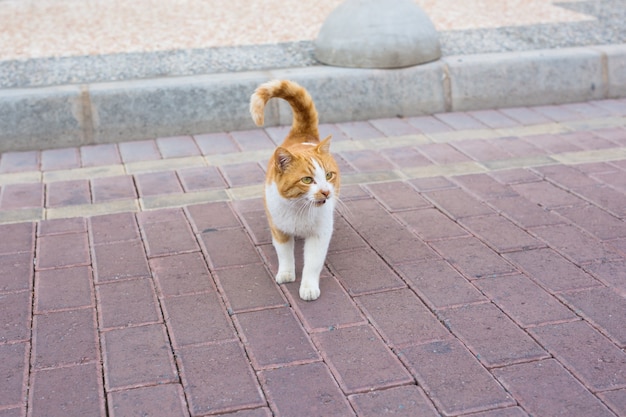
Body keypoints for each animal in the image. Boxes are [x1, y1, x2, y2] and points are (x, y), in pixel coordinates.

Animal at [249, 79, 338, 300]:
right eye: (307, 180)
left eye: (329, 175)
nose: (326, 192)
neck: (299, 208)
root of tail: (302, 136)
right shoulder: (279, 229)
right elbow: (285, 256)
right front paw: (286, 273)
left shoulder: (320, 234)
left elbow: (312, 264)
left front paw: (308, 287)